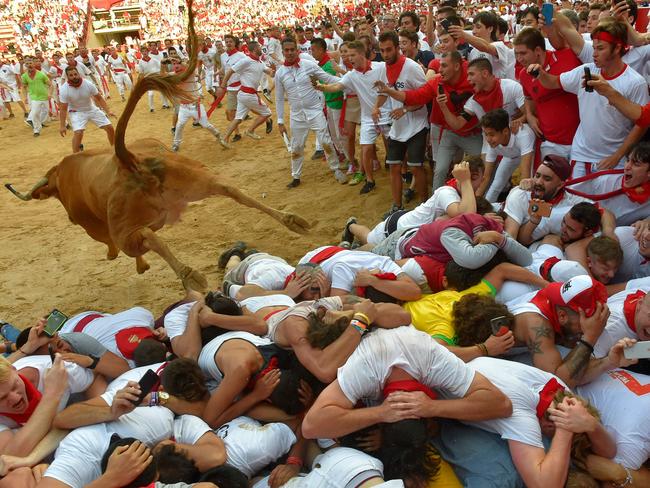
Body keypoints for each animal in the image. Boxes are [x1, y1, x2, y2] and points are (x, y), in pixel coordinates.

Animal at [3, 2, 308, 290]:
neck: (63, 176)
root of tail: (126, 160)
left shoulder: (93, 226)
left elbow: (112, 244)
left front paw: (134, 264)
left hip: (127, 228)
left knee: (144, 238)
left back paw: (189, 275)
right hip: (196, 179)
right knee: (232, 190)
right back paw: (293, 220)